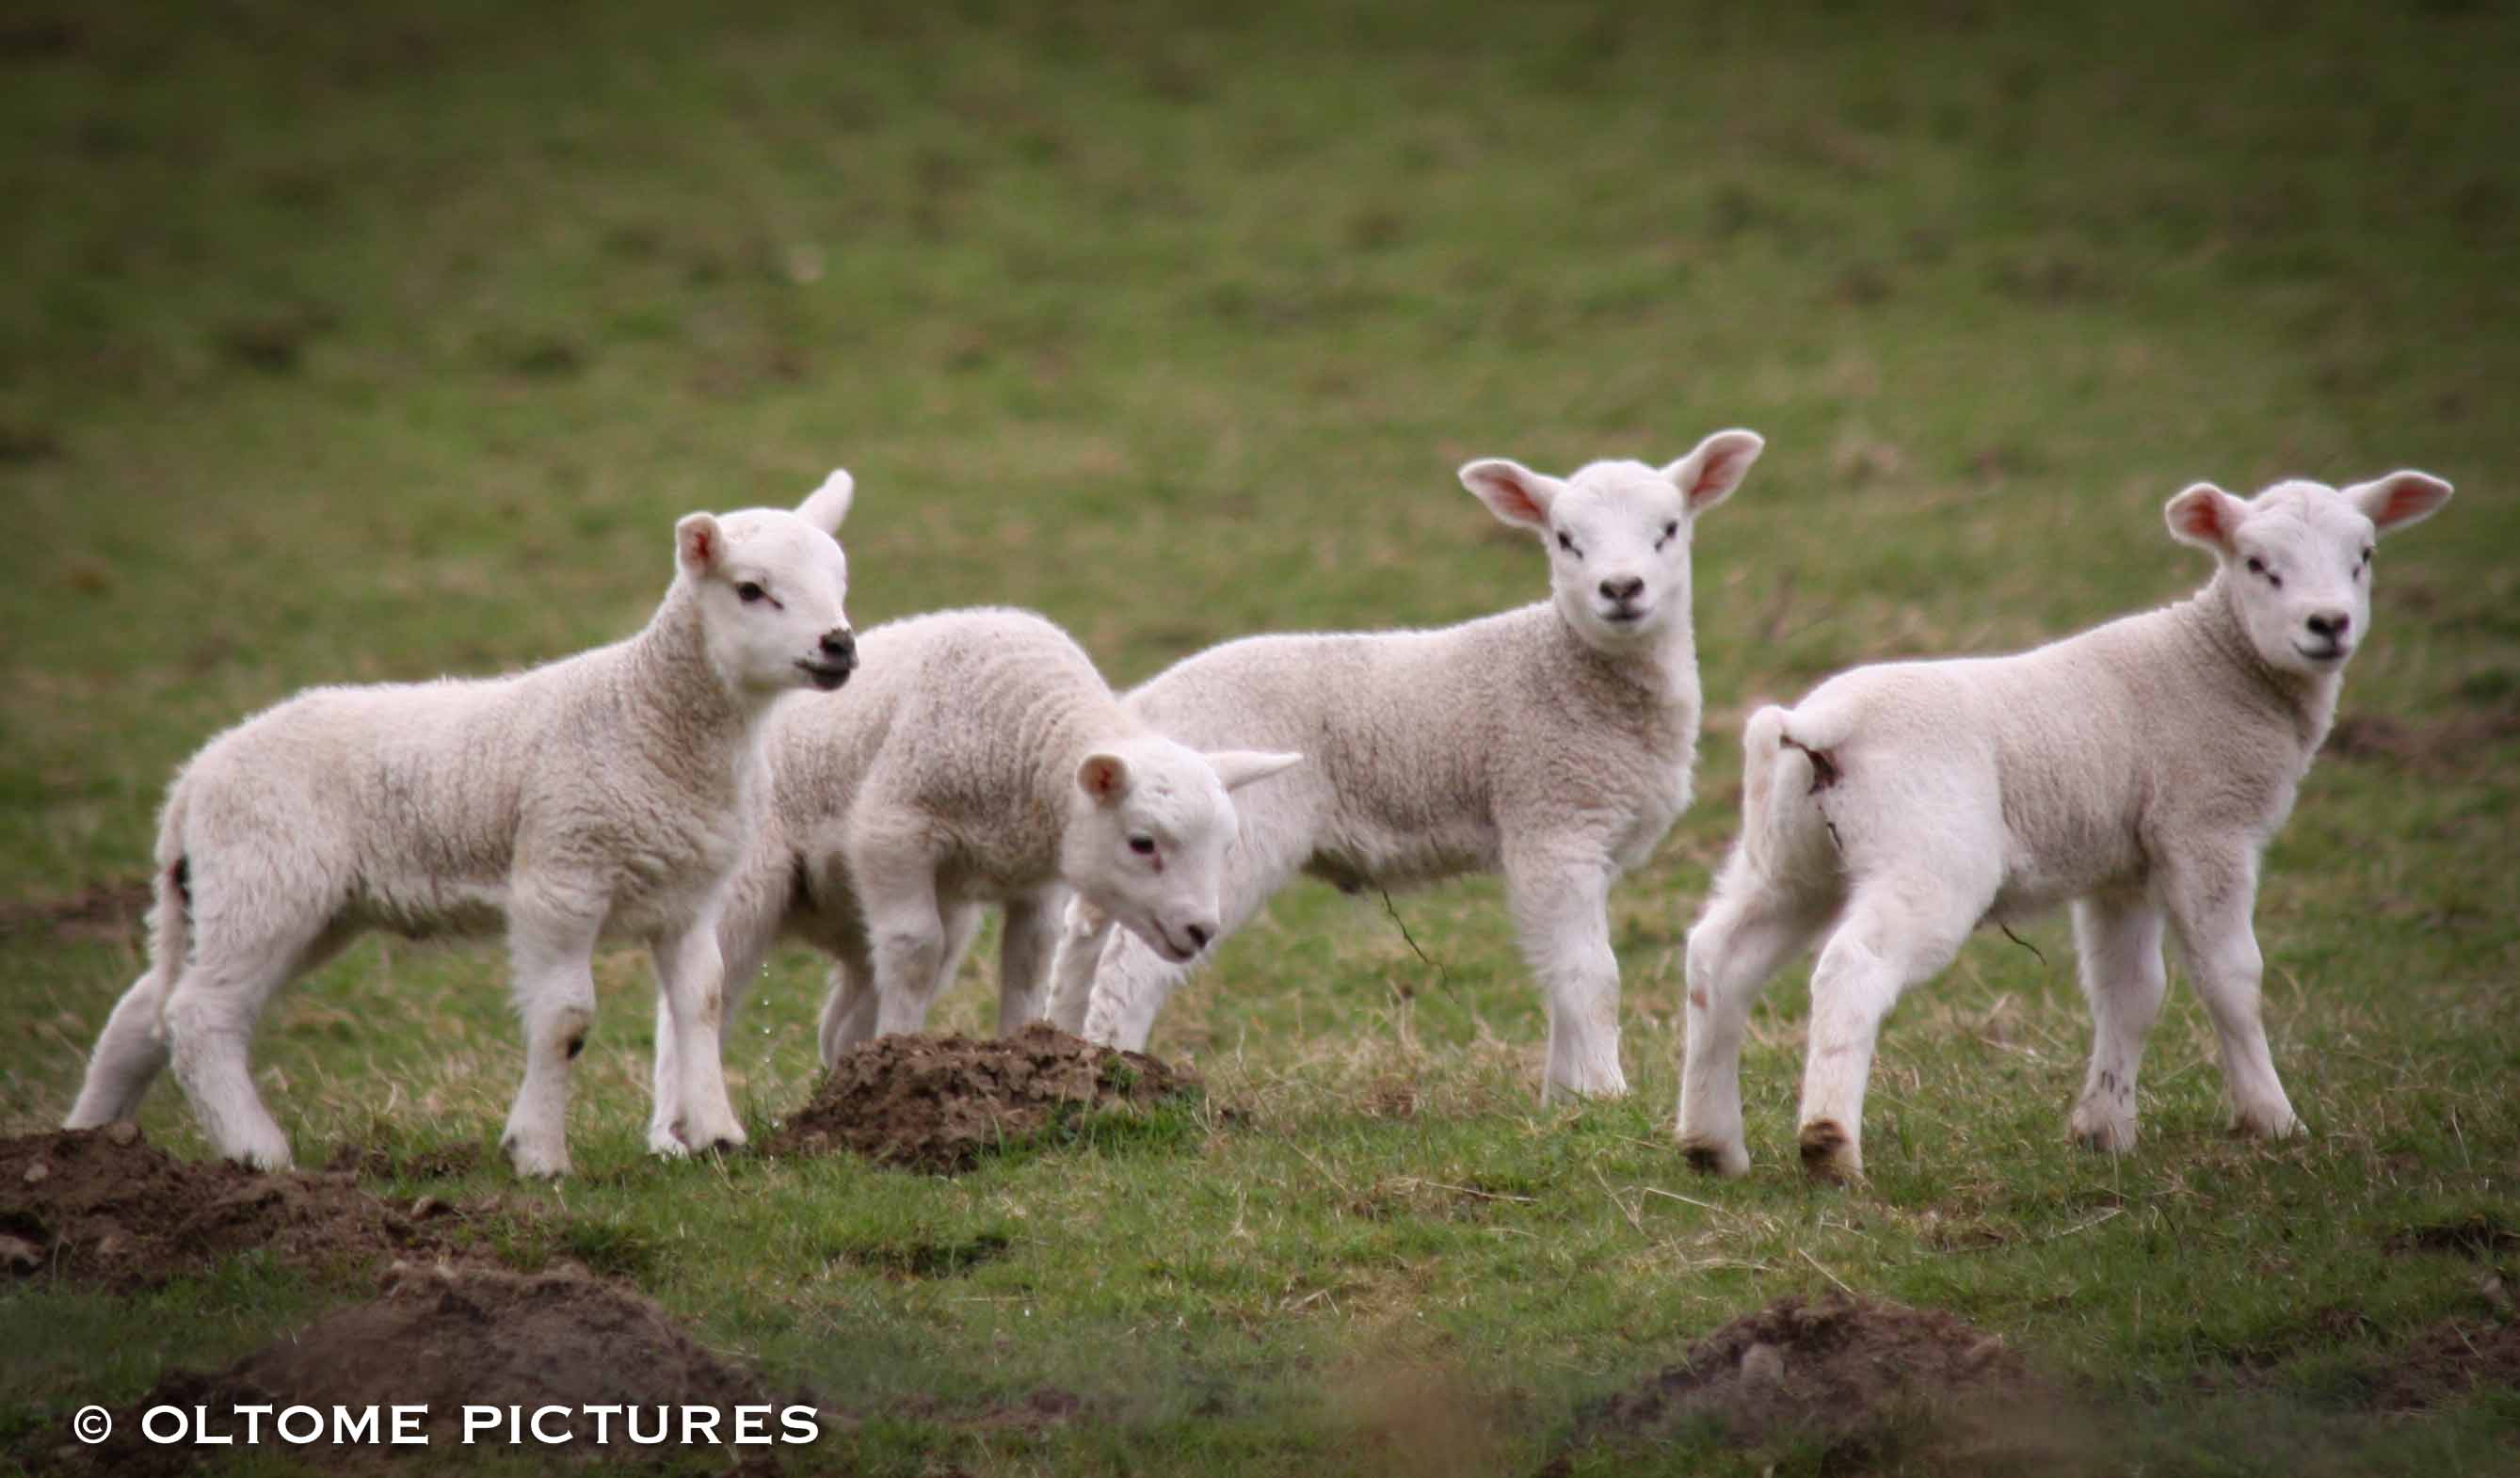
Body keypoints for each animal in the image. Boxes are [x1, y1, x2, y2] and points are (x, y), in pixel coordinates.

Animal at [61, 472, 866, 1175]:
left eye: (840, 582)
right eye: (751, 590)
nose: (839, 644)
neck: (647, 715)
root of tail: (194, 778)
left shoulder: (690, 892)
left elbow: (701, 1001)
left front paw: (714, 1135)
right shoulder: (559, 874)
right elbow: (566, 1020)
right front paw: (539, 1155)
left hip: (266, 899)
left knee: (146, 1011)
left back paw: (91, 1140)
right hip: (268, 876)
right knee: (202, 1016)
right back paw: (258, 1153)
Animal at [650, 605, 1300, 1119]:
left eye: (1226, 847)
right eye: (1143, 842)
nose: (1200, 930)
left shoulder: (1037, 878)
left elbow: (1028, 963)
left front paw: (1026, 1060)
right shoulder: (893, 831)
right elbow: (915, 950)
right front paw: (902, 1054)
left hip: (863, 920)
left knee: (842, 1015)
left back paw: (843, 1085)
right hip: (748, 887)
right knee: (698, 1001)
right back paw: (677, 1133)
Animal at [1043, 426, 1774, 1094]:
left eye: (1669, 530)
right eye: (1566, 539)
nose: (1620, 589)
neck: (1567, 672)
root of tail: (1139, 712)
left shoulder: (1579, 837)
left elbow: (1558, 973)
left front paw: (1562, 1097)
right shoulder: (1551, 819)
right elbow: (1588, 974)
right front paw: (1603, 1097)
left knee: (1083, 941)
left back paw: (1071, 1053)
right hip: (1213, 844)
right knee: (1130, 967)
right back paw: (1122, 1075)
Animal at [1683, 466, 2449, 1180]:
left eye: (2364, 555)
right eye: (2258, 564)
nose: (2329, 625)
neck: (2219, 662)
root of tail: (1816, 724)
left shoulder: (2122, 865)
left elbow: (2129, 991)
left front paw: (2105, 1129)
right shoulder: (2205, 826)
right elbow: (2231, 977)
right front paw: (2273, 1119)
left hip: (1790, 857)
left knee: (1720, 956)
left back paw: (1712, 1144)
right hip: (1930, 857)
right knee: (1851, 969)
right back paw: (1830, 1148)